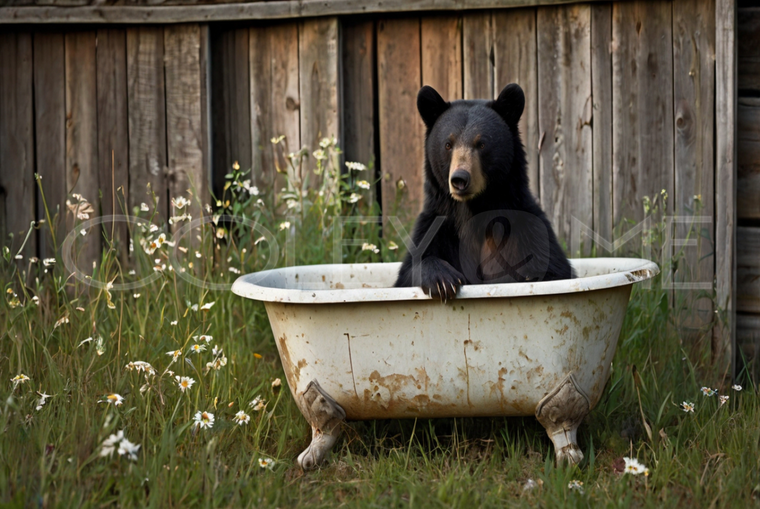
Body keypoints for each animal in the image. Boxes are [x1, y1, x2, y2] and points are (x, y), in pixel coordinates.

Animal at [394, 83, 573, 302]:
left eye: (481, 143)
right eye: (448, 144)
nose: (459, 179)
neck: (474, 208)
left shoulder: (526, 230)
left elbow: (552, 270)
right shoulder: (438, 224)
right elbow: (411, 267)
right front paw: (443, 280)